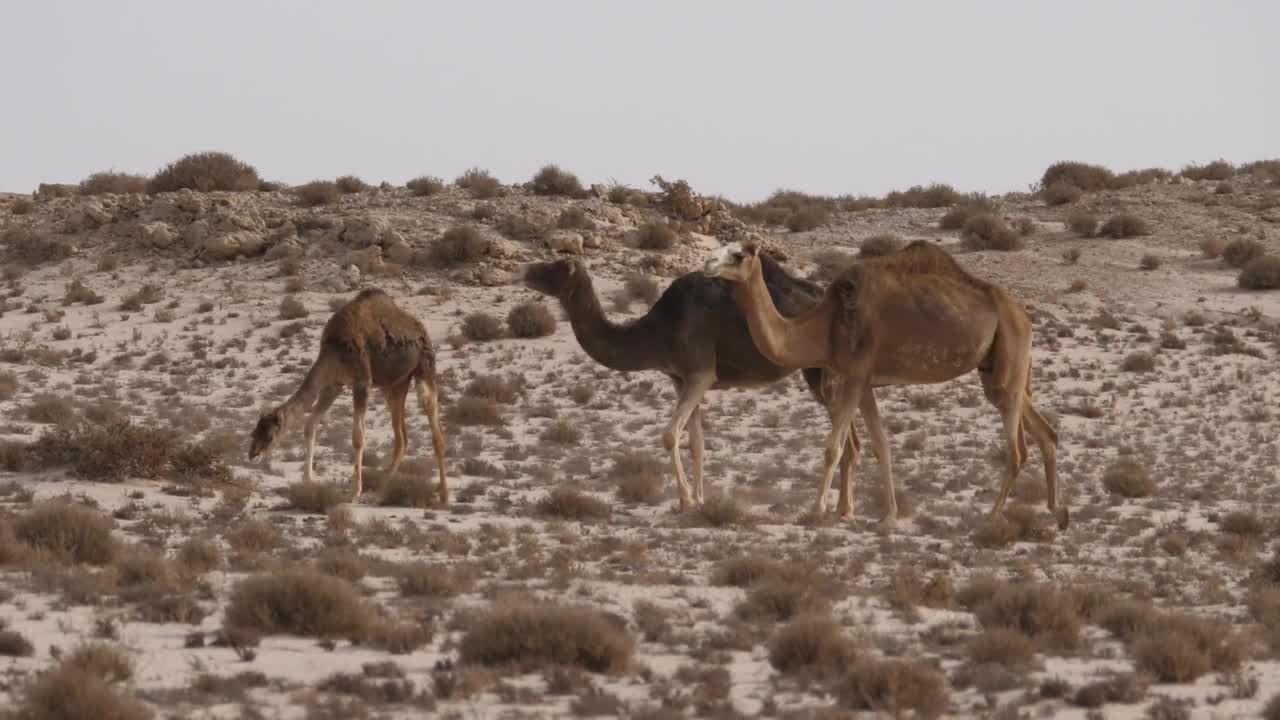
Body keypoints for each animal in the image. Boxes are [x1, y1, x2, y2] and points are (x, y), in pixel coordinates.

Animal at [248, 288, 448, 503]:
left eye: (269, 435)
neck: (335, 348)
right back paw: (381, 489)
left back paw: (444, 494)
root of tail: (420, 330)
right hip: (395, 384)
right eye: (255, 431)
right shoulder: (334, 384)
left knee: (434, 428)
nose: (253, 454)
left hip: (424, 367)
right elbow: (310, 425)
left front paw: (354, 492)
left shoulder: (361, 382)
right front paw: (308, 479)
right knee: (401, 438)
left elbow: (358, 437)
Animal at [516, 256, 897, 519]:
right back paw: (844, 510)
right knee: (853, 441)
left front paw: (685, 500)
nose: (525, 270)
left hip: (824, 372)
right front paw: (699, 500)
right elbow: (696, 442)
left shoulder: (700, 372)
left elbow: (669, 435)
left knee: (848, 440)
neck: (661, 328)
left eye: (556, 265)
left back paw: (835, 509)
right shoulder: (681, 378)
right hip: (819, 373)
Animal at [702, 239, 1063, 528]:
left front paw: (817, 509)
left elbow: (833, 448)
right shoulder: (864, 383)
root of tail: (1023, 315)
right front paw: (888, 515)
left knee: (1016, 450)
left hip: (1009, 356)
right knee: (1045, 432)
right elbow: (881, 446)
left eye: (737, 254)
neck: (826, 327)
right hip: (996, 368)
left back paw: (992, 516)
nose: (707, 263)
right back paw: (1057, 513)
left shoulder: (854, 374)